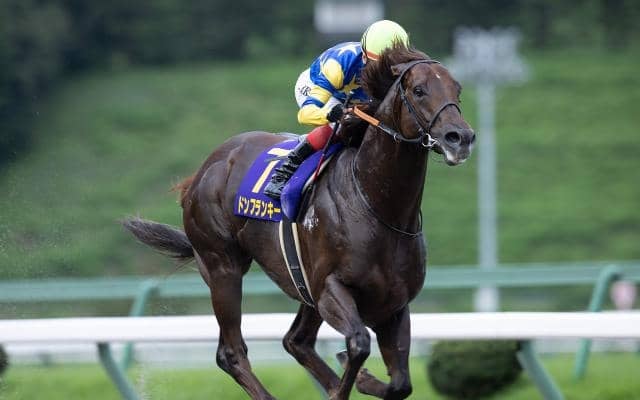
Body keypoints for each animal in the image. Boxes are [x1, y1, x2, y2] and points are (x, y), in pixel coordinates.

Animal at [123, 45, 474, 400]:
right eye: (418, 90)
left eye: (457, 89)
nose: (460, 137)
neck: (379, 206)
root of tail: (204, 170)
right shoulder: (330, 289)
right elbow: (359, 344)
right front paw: (352, 376)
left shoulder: (394, 305)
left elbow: (400, 383)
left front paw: (361, 379)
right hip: (222, 267)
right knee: (231, 353)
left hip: (300, 287)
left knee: (296, 342)